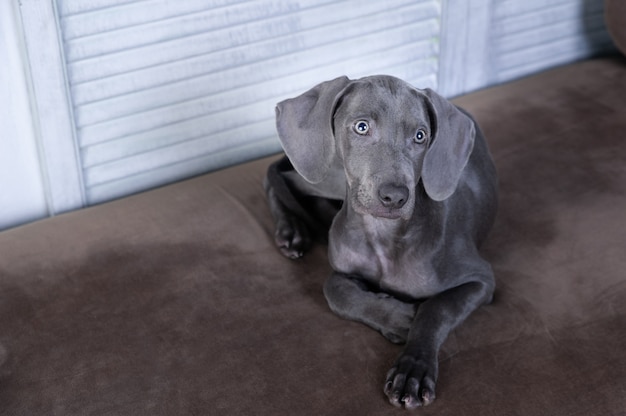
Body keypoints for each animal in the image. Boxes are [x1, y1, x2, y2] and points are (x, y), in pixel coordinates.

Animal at [264, 75, 498, 410]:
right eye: (361, 127)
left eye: (420, 136)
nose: (395, 196)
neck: (382, 236)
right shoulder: (341, 267)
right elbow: (334, 290)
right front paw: (399, 317)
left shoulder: (481, 279)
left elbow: (436, 308)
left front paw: (413, 368)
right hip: (328, 172)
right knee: (278, 176)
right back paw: (291, 229)